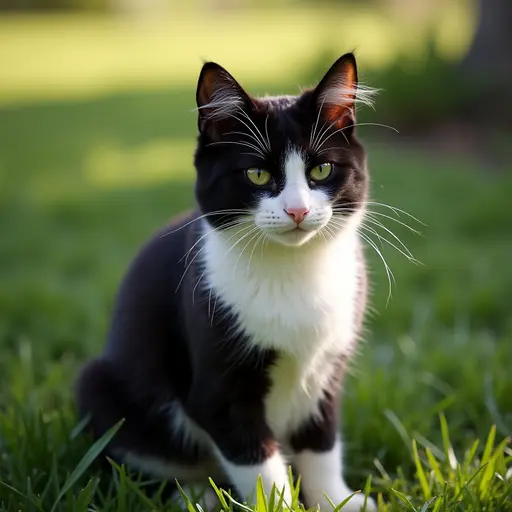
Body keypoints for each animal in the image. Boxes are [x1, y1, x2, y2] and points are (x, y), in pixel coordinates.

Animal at [77, 53, 380, 512]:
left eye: (322, 168)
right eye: (256, 174)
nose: (297, 210)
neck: (292, 269)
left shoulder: (329, 367)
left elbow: (321, 442)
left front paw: (335, 500)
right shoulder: (218, 386)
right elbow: (256, 459)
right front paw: (280, 506)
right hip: (102, 387)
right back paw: (195, 494)